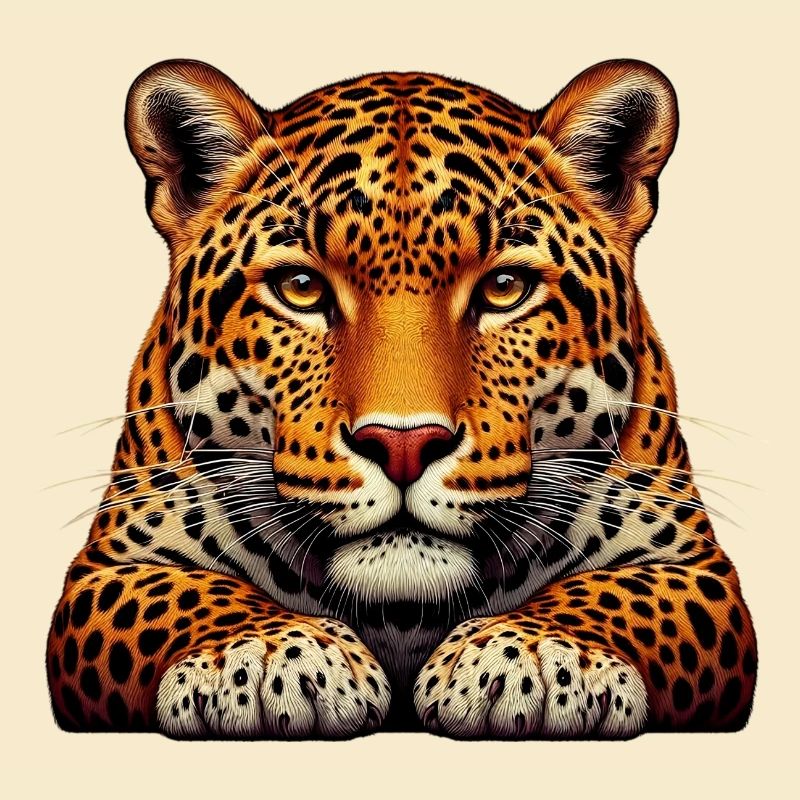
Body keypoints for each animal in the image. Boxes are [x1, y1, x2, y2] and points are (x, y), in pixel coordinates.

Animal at [46, 58, 757, 738]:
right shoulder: (110, 566)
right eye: (301, 287)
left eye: (505, 287)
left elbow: (619, 593)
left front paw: (536, 655)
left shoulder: (694, 564)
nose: (404, 445)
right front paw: (265, 655)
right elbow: (184, 593)